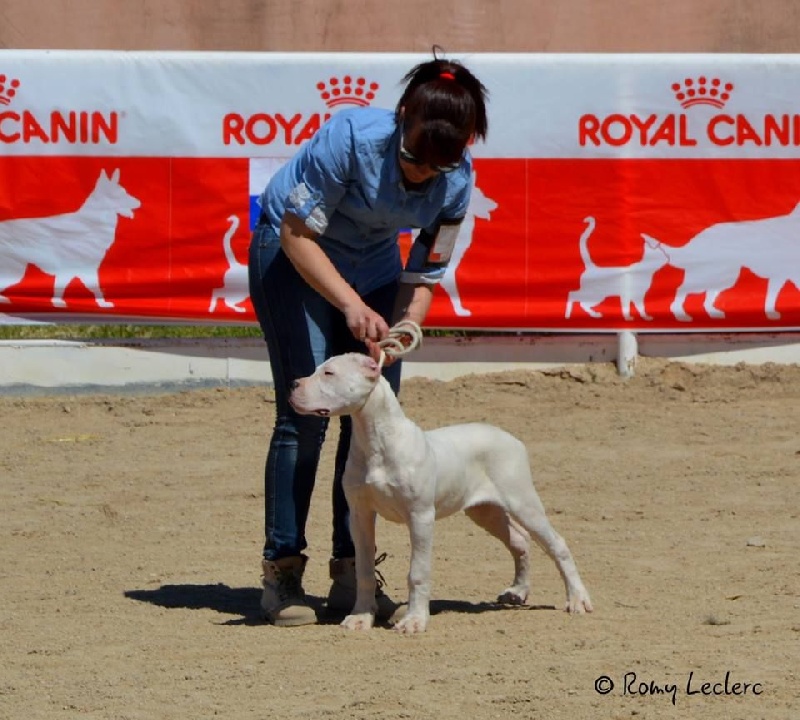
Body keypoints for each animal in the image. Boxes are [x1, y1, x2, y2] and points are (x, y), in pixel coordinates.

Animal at [290, 352, 592, 632]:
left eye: (329, 373)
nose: (293, 384)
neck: (377, 439)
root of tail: (510, 437)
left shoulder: (420, 516)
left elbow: (418, 572)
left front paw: (414, 621)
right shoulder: (360, 515)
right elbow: (363, 570)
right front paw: (361, 617)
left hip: (522, 502)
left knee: (557, 544)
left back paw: (577, 599)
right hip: (485, 511)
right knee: (519, 540)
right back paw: (517, 591)